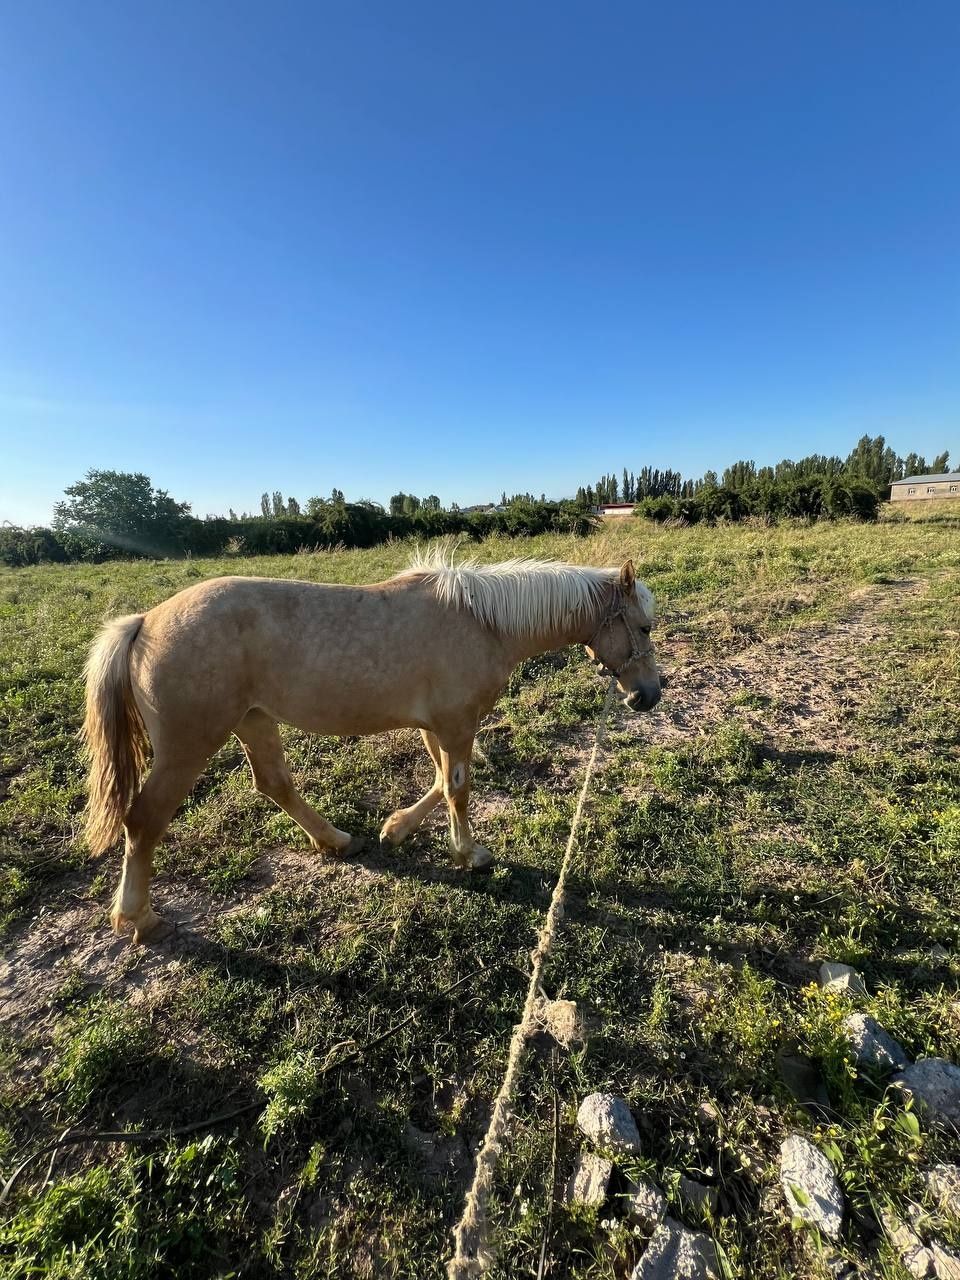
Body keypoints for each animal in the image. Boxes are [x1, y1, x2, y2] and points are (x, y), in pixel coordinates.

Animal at [84, 545, 660, 947]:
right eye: (644, 626)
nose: (648, 696)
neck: (484, 623)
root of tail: (143, 624)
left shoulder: (437, 726)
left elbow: (438, 782)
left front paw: (397, 829)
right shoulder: (456, 725)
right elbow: (458, 789)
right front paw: (469, 854)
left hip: (253, 721)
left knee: (274, 784)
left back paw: (337, 840)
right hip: (188, 748)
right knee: (144, 822)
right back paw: (138, 917)